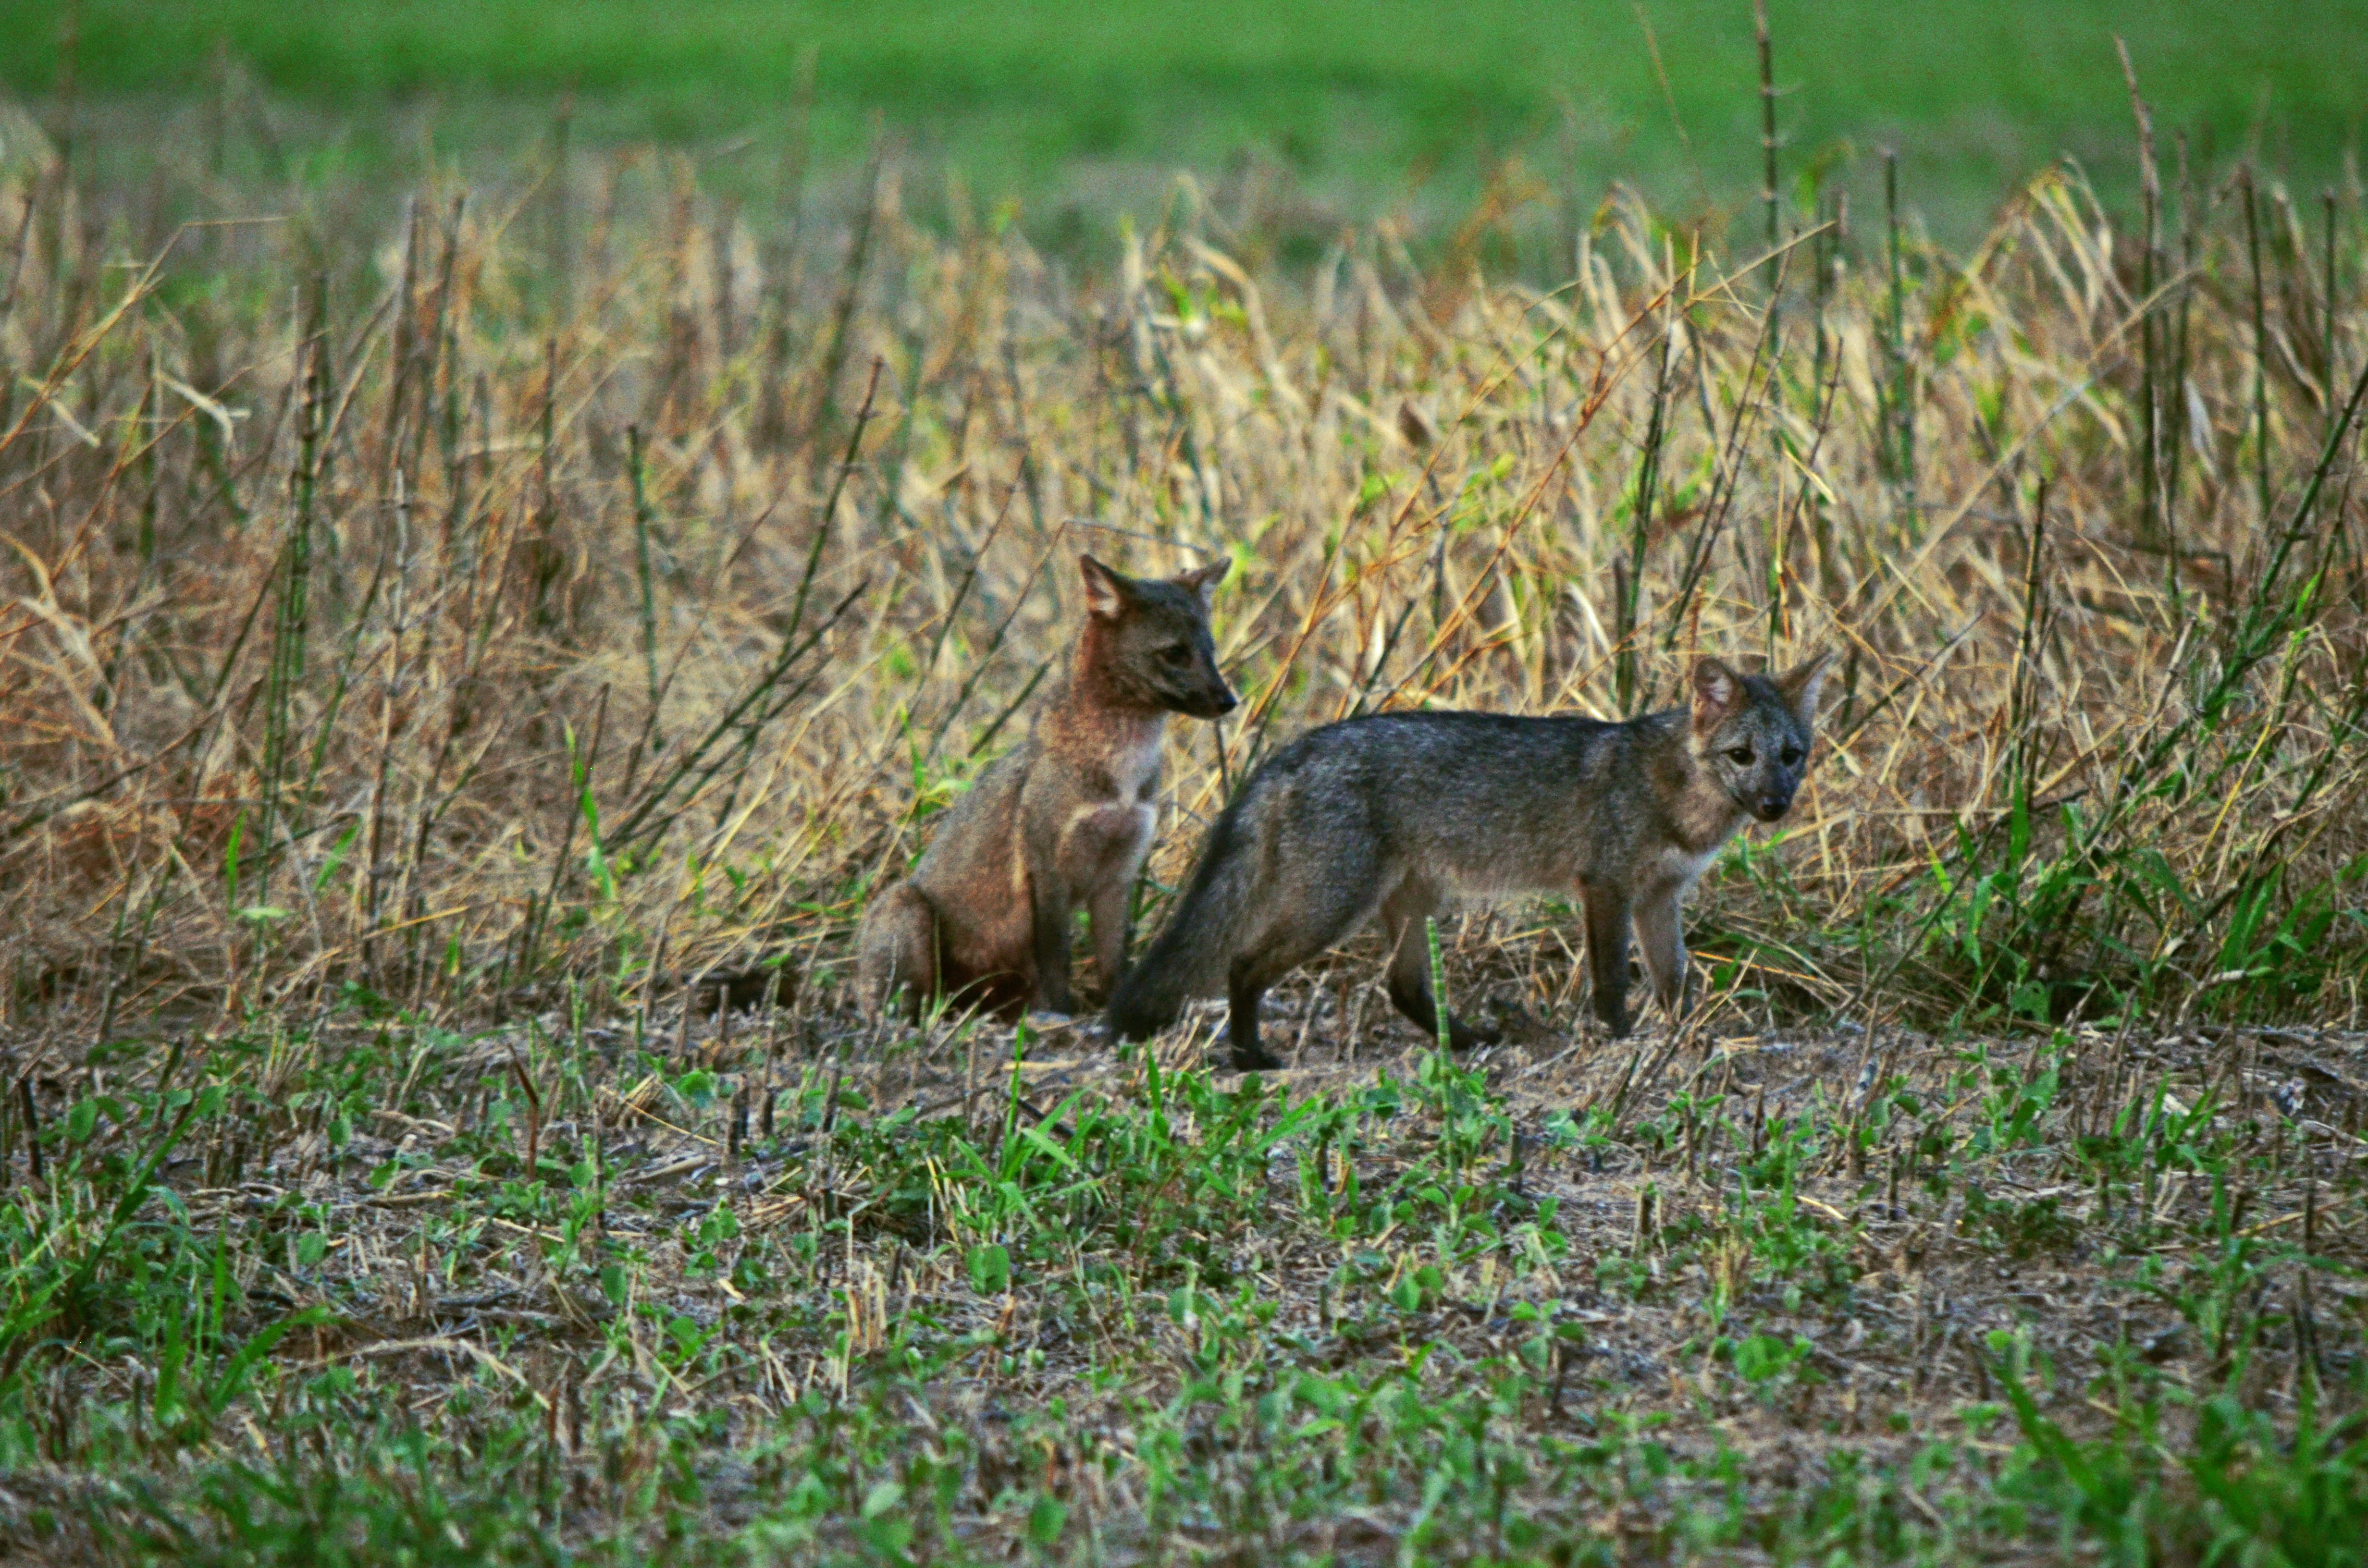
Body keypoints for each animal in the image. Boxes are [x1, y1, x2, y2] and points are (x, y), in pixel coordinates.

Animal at [862, 559, 1250, 1028]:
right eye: (1175, 653)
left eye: (1211, 652)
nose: (1229, 701)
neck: (1121, 770)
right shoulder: (1049, 874)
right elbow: (1057, 961)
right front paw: (1061, 1013)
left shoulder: (1117, 877)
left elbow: (1113, 964)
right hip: (908, 910)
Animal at [1108, 649, 1828, 1070]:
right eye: (1742, 755)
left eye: (1791, 756)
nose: (1774, 805)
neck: (1677, 794)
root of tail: (1291, 752)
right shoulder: (1605, 889)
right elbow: (1610, 981)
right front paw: (1620, 1041)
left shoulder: (1659, 897)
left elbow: (1674, 980)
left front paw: (1681, 1039)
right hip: (1334, 908)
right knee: (1243, 963)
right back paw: (1249, 1056)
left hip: (1413, 903)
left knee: (1400, 987)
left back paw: (1468, 1041)